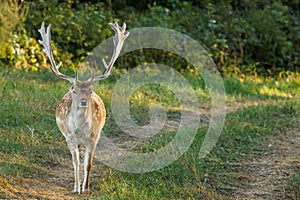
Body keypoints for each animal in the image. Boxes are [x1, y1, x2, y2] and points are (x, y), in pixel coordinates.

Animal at [37, 21, 129, 193]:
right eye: (74, 90)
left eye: (90, 91)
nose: (84, 101)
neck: (80, 129)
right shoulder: (69, 138)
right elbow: (76, 163)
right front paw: (76, 187)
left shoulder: (93, 139)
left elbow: (88, 163)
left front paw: (85, 188)